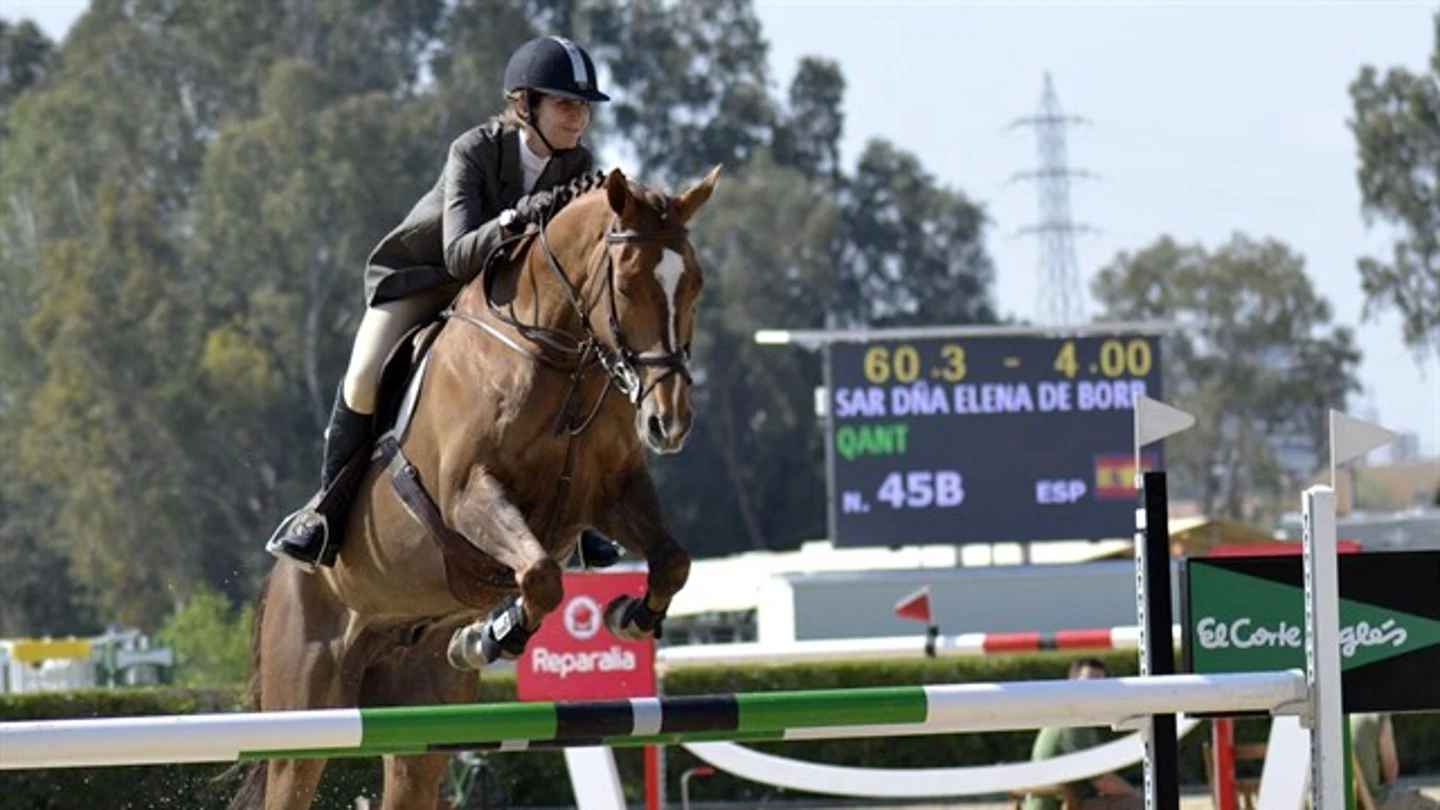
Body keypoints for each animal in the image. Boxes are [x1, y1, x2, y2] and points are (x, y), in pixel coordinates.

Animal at [230, 165, 721, 810]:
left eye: (695, 284)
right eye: (628, 282)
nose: (670, 422)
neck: (559, 358)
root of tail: (277, 581)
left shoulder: (612, 492)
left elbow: (671, 560)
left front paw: (629, 615)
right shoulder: (470, 496)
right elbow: (540, 574)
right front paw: (495, 634)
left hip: (418, 731)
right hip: (305, 720)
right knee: (294, 770)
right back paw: (313, 535)